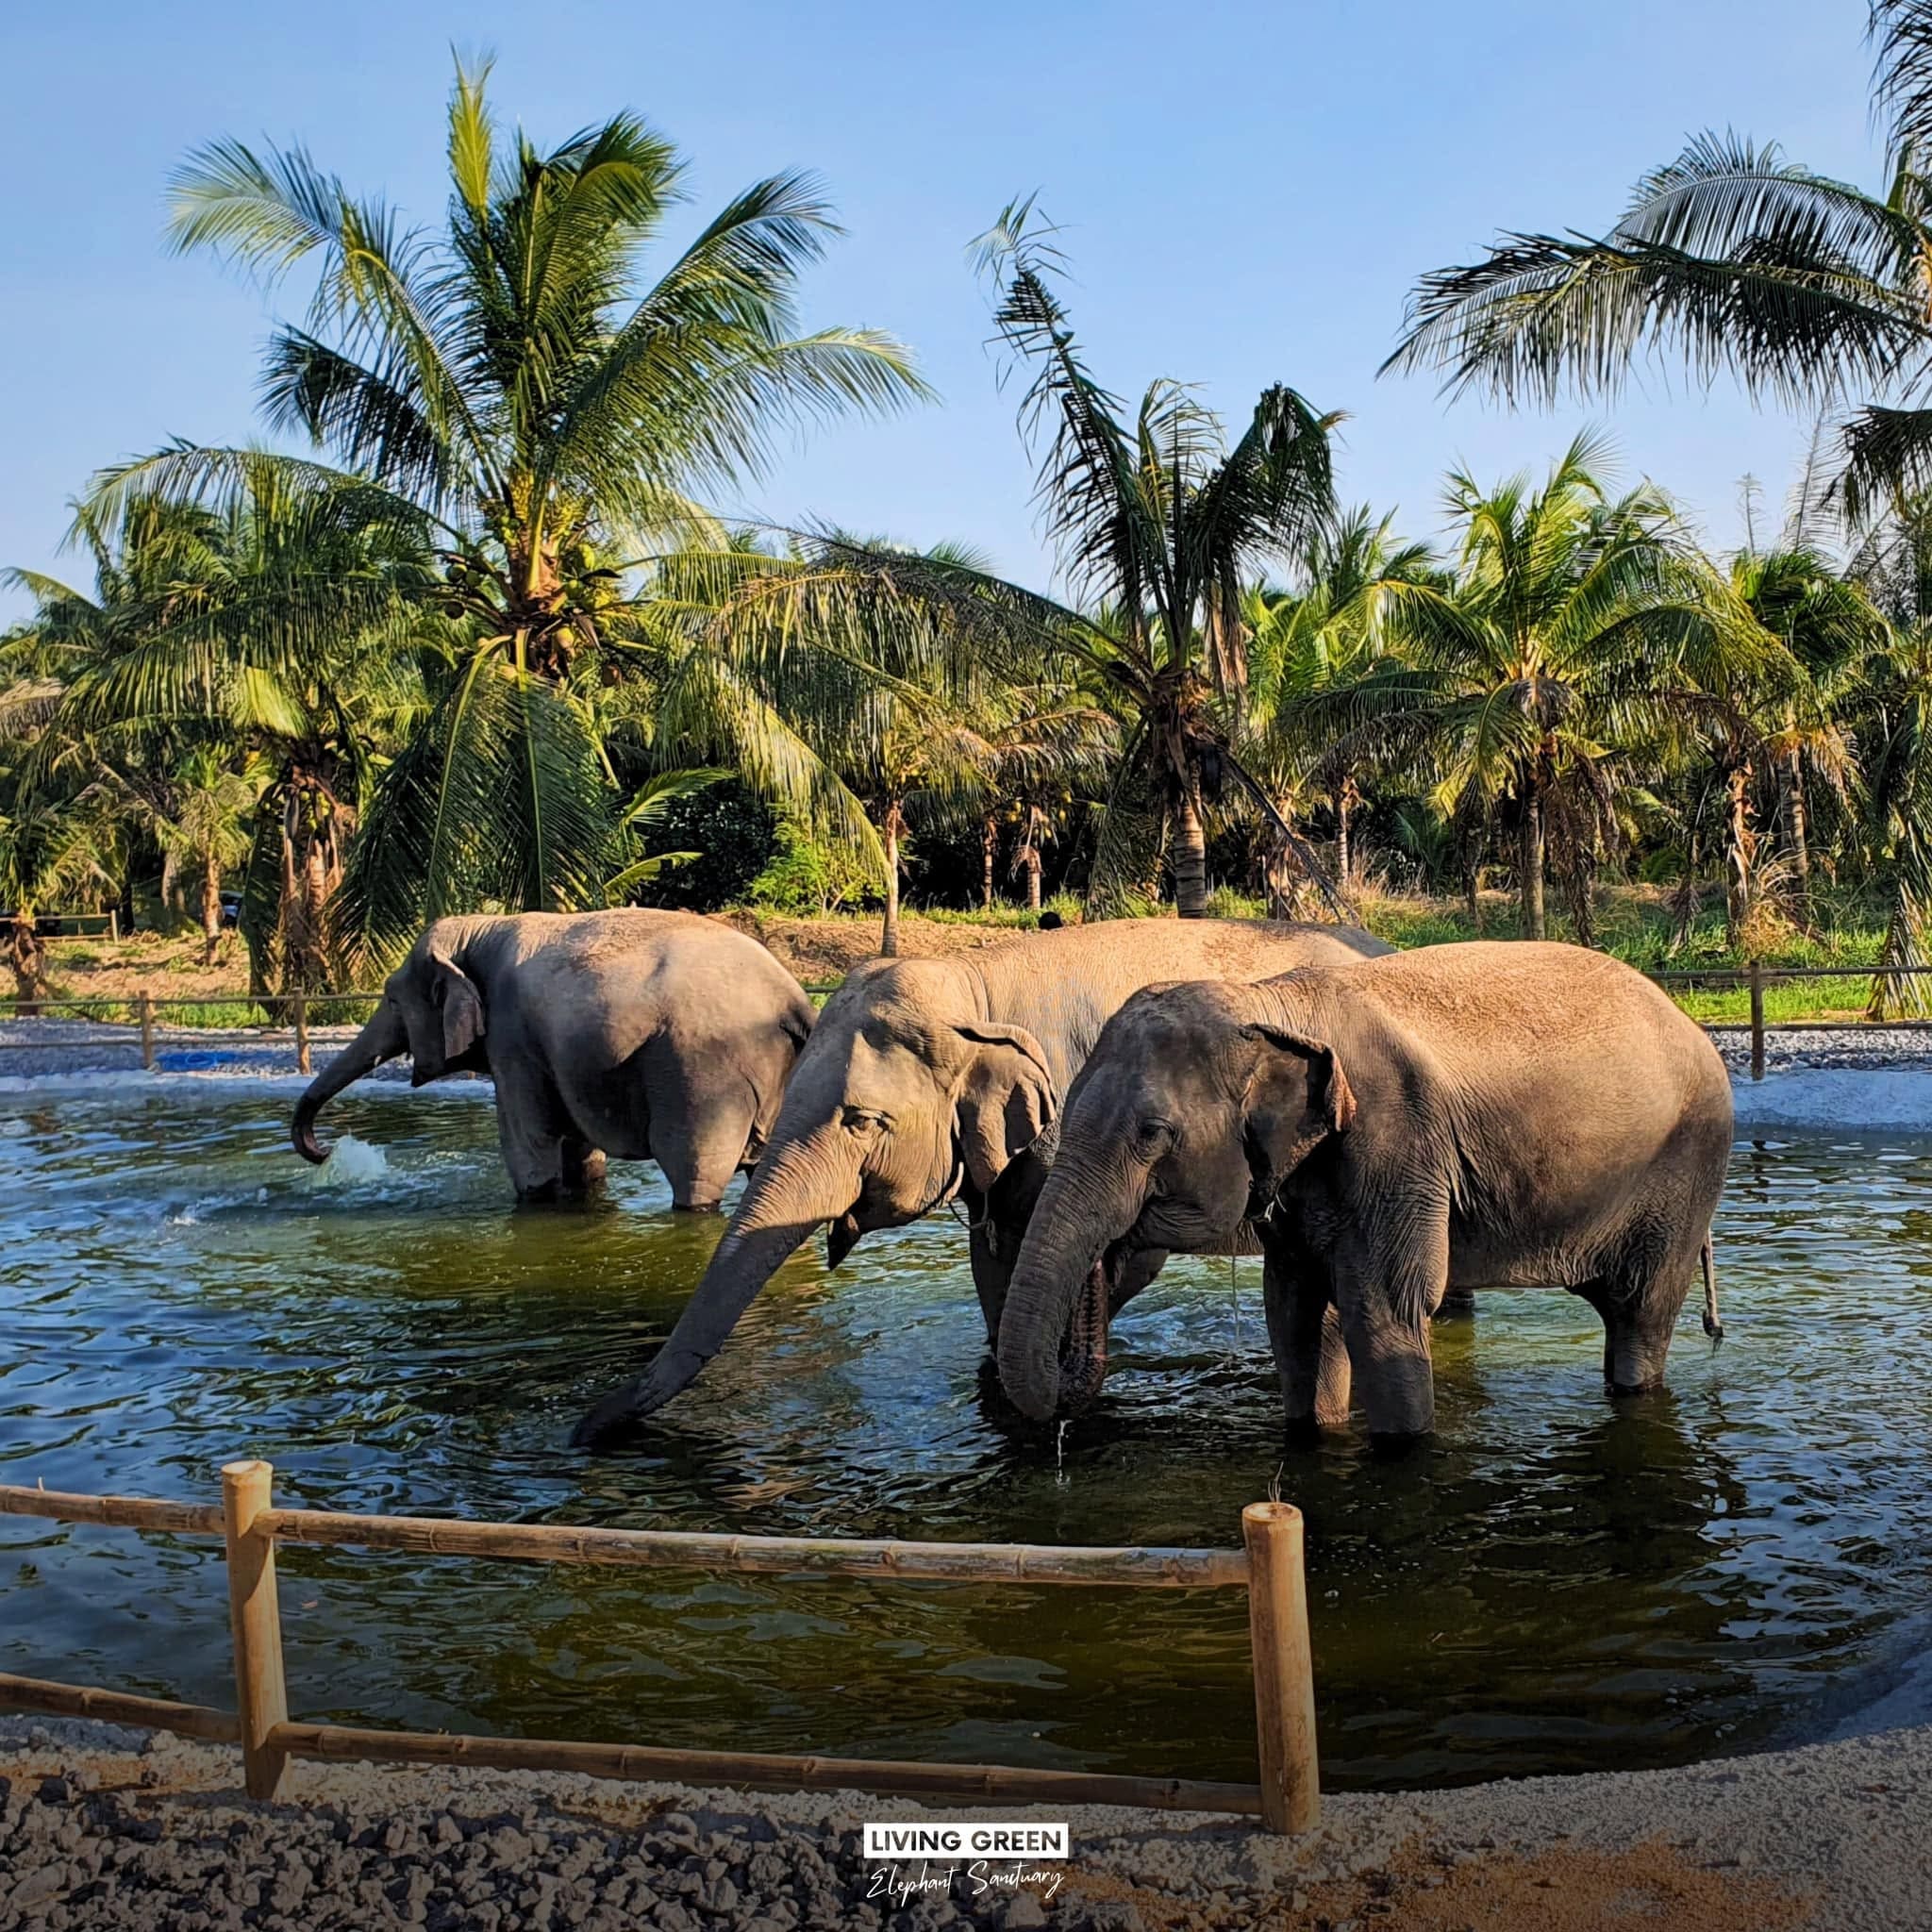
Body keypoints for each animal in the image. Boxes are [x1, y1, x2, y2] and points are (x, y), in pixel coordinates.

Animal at [292, 911, 815, 1209]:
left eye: (392, 1000)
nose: (327, 1150)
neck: (478, 930)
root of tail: (793, 999)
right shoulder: (561, 1056)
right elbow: (578, 1150)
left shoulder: (512, 1040)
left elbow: (527, 1143)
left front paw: (536, 1198)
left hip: (702, 1075)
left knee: (694, 1173)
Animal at [995, 940, 1733, 1446]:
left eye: (1153, 1134)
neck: (1269, 1003)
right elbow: (1295, 1311)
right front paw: (1315, 1433)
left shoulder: (1396, 1140)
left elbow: (1382, 1310)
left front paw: (1403, 1448)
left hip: (1686, 1170)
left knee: (1641, 1313)